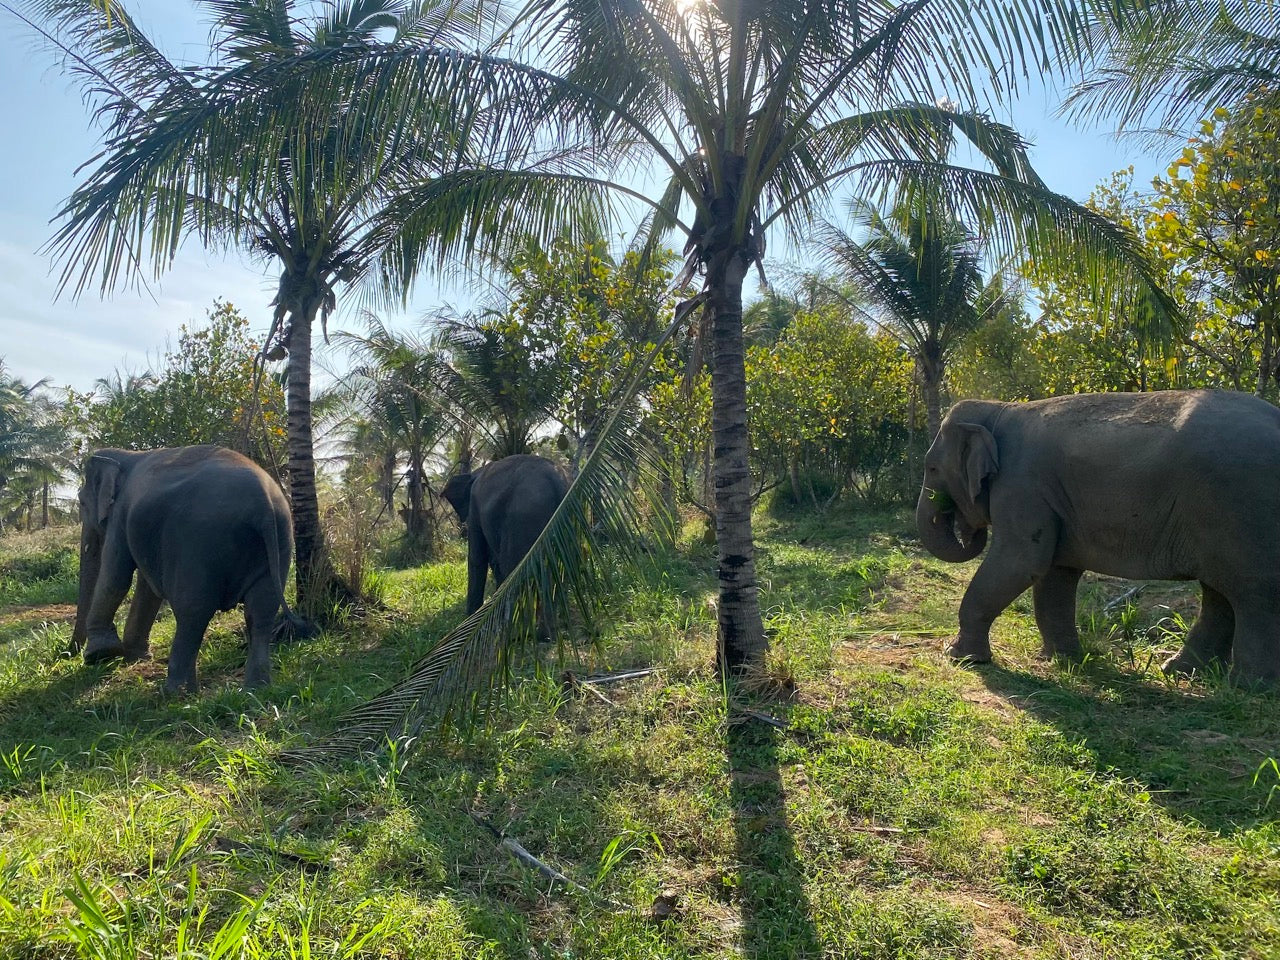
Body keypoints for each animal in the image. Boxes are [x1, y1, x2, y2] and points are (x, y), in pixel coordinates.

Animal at [71, 445, 300, 693]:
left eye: (81, 503)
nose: (71, 654)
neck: (125, 455)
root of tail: (264, 506)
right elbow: (147, 589)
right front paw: (134, 657)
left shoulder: (121, 515)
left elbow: (116, 576)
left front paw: (100, 654)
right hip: (281, 537)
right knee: (261, 609)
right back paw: (255, 689)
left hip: (198, 544)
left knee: (192, 611)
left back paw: (174, 692)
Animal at [915, 390, 1280, 685]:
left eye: (931, 468)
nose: (968, 530)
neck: (998, 408)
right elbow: (1055, 575)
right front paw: (1063, 660)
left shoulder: (1023, 484)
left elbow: (1022, 562)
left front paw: (960, 657)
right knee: (1220, 594)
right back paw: (1180, 673)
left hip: (1241, 509)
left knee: (1253, 595)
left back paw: (1248, 688)